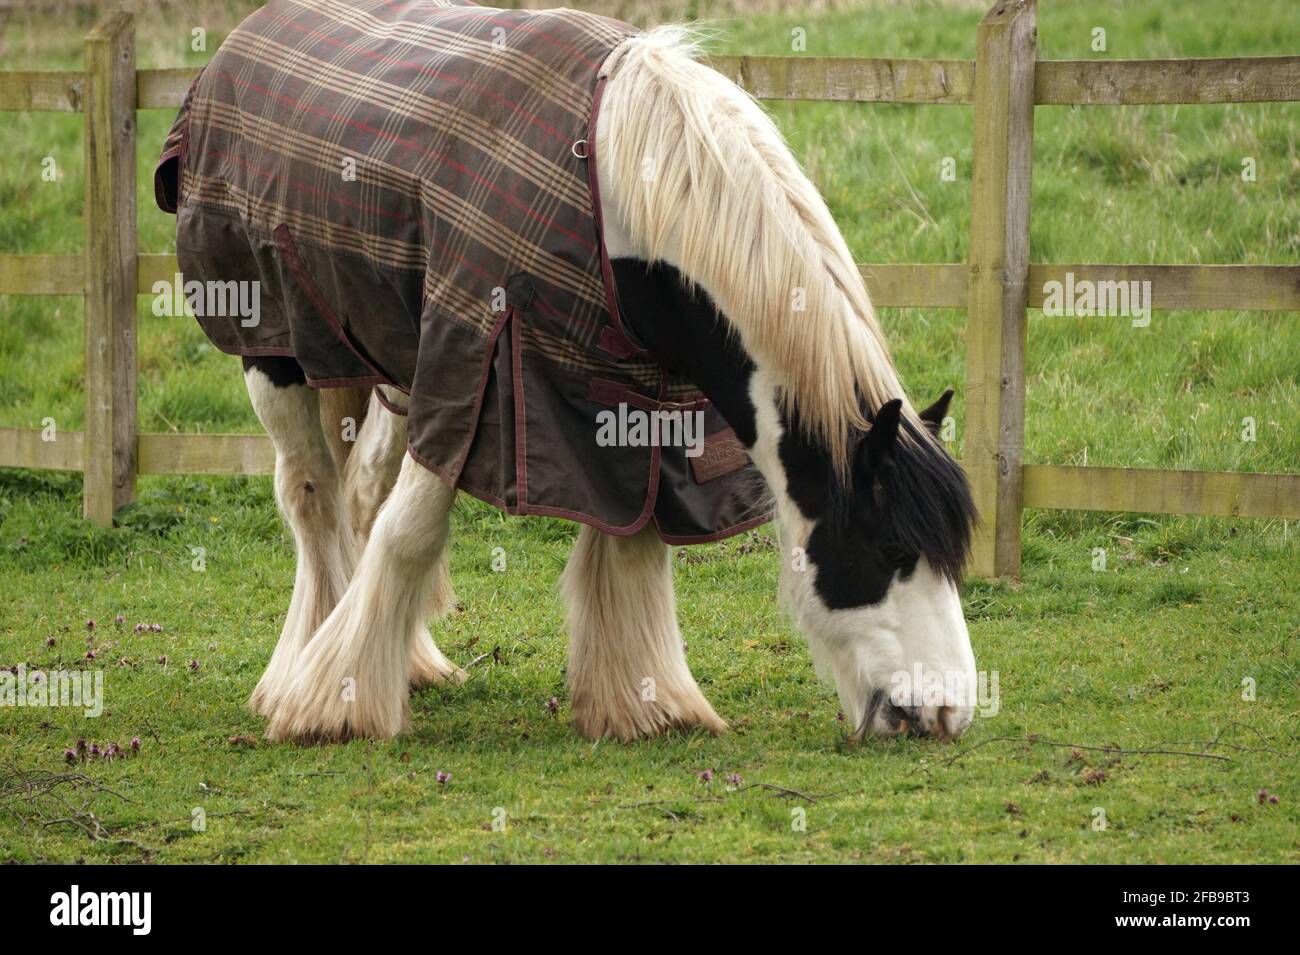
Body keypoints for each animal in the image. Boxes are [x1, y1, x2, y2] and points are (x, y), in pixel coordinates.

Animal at [154, 1, 978, 744]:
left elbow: (634, 542)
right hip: (275, 351)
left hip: (386, 371)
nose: (948, 713)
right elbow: (412, 532)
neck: (625, 199)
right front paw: (333, 705)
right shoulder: (469, 374)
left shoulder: (641, 404)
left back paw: (410, 663)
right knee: (314, 498)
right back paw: (302, 666)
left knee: (360, 493)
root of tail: (237, 44)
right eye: (893, 551)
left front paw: (650, 704)